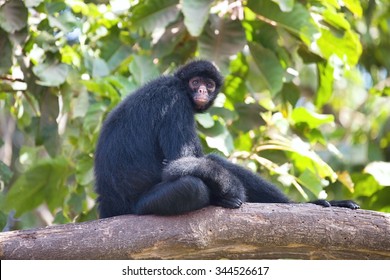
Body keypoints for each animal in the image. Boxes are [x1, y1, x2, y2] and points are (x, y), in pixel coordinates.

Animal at [95, 60, 360, 218]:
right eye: (195, 83)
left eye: (209, 84)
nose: (202, 90)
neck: (177, 84)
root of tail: (108, 205)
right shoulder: (175, 103)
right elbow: (178, 164)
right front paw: (232, 191)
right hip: (143, 206)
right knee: (193, 186)